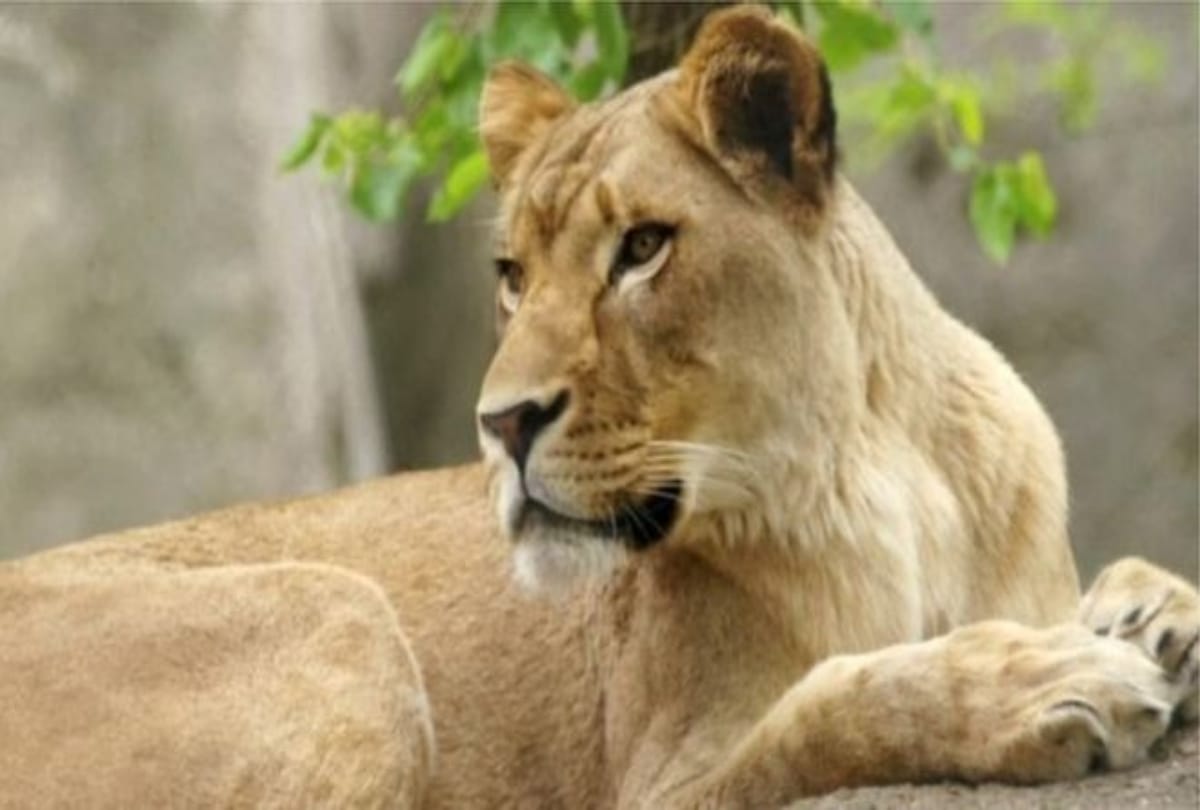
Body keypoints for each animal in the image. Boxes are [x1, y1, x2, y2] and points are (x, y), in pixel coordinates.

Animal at [2, 7, 1196, 809]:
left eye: (642, 248)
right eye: (512, 275)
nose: (500, 424)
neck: (876, 475)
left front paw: (1143, 612)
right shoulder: (664, 781)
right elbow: (838, 703)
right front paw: (1053, 680)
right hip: (339, 613)